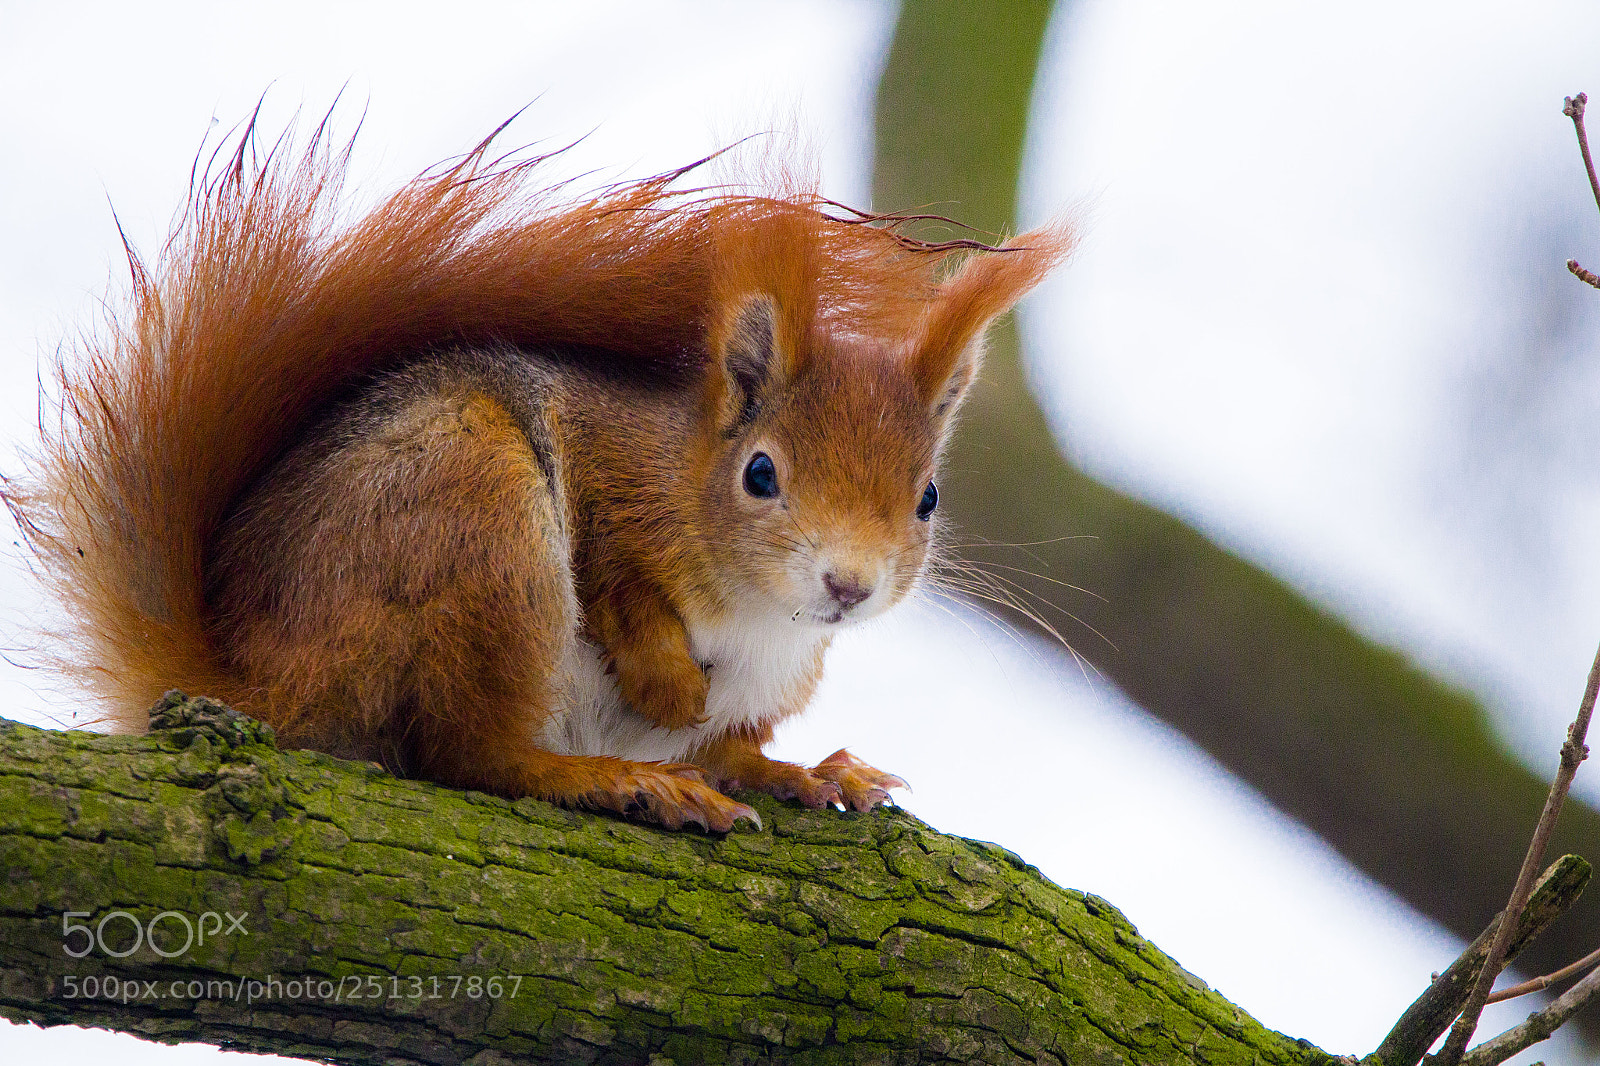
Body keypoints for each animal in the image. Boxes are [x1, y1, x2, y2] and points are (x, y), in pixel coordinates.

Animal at [5, 123, 1071, 832]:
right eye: (761, 473)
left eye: (928, 497)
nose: (847, 586)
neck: (757, 615)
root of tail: (255, 679)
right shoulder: (610, 477)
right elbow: (618, 585)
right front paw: (668, 682)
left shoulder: (775, 678)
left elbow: (736, 744)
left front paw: (809, 771)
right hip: (478, 523)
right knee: (475, 754)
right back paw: (609, 778)